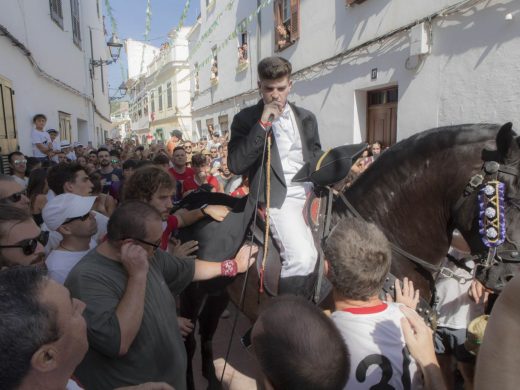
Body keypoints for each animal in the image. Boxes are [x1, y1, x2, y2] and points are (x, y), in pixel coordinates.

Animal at [180, 122, 520, 390]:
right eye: (509, 198)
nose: (508, 277)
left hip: (221, 291)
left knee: (208, 330)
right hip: (193, 292)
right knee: (188, 339)